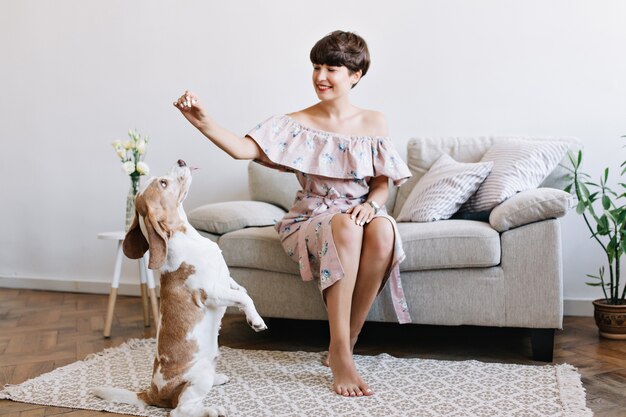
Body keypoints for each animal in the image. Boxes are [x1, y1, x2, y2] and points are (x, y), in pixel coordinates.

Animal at [92, 160, 266, 416]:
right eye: (163, 183)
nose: (181, 161)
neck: (188, 237)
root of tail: (152, 392)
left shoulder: (226, 280)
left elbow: (241, 290)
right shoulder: (211, 293)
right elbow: (245, 299)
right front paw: (256, 320)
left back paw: (218, 379)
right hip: (199, 377)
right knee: (180, 410)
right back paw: (211, 410)